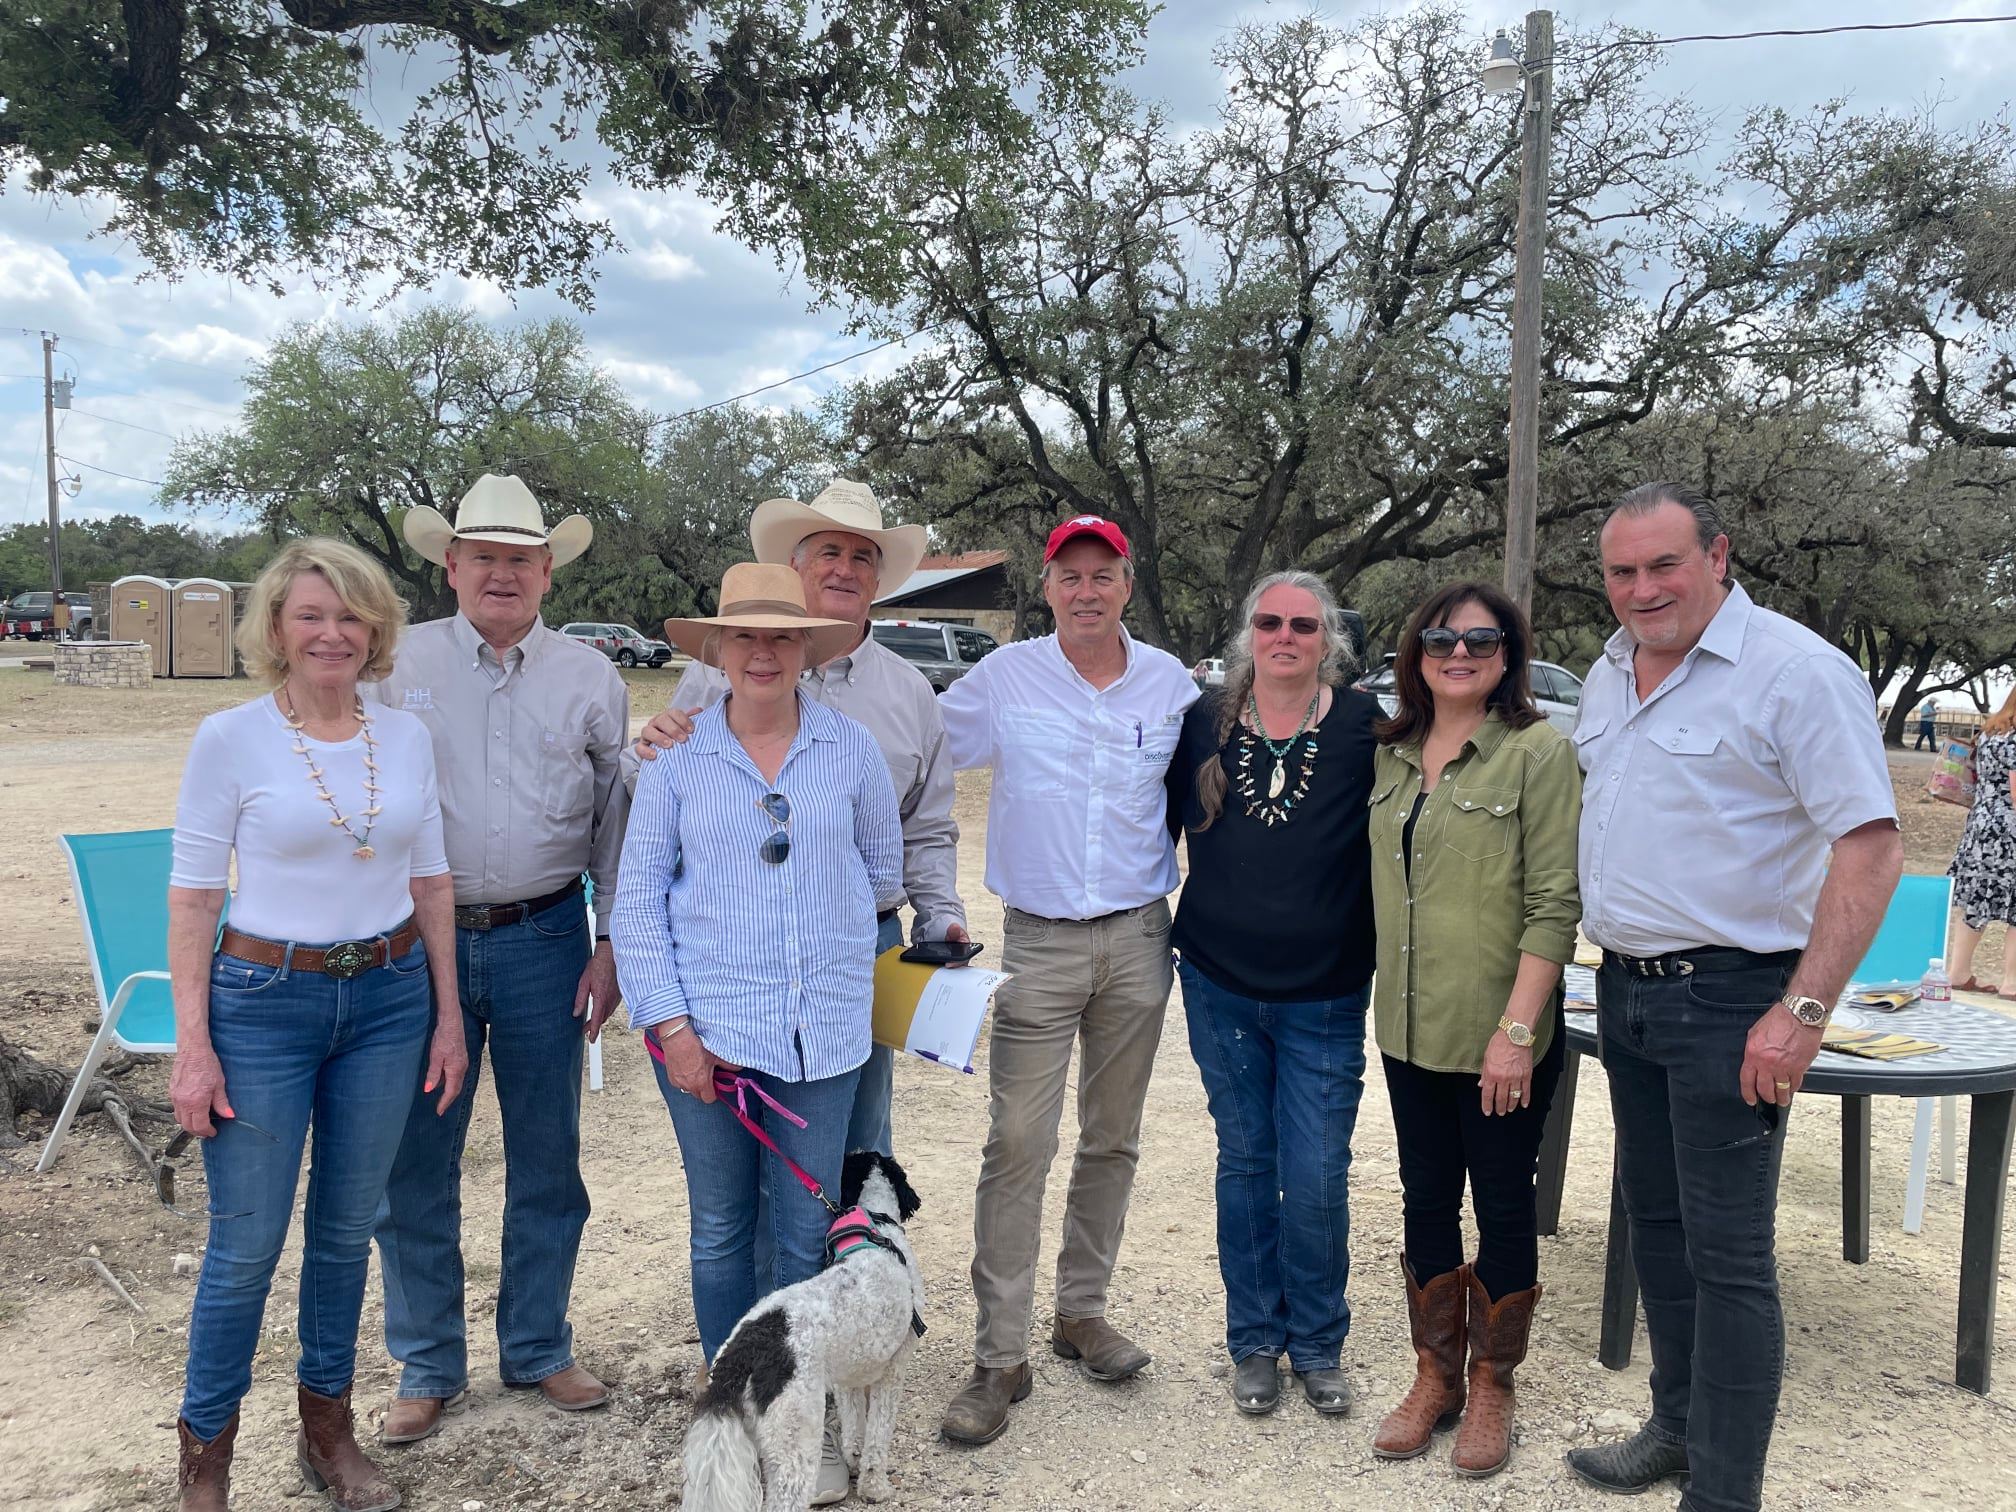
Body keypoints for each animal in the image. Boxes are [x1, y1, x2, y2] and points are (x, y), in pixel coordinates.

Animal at [681, 1153, 923, 1507]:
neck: (876, 1229)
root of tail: (744, 1350)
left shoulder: (849, 1375)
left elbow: (854, 1425)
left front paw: (853, 1458)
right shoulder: (893, 1371)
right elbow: (878, 1436)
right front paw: (874, 1486)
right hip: (795, 1435)